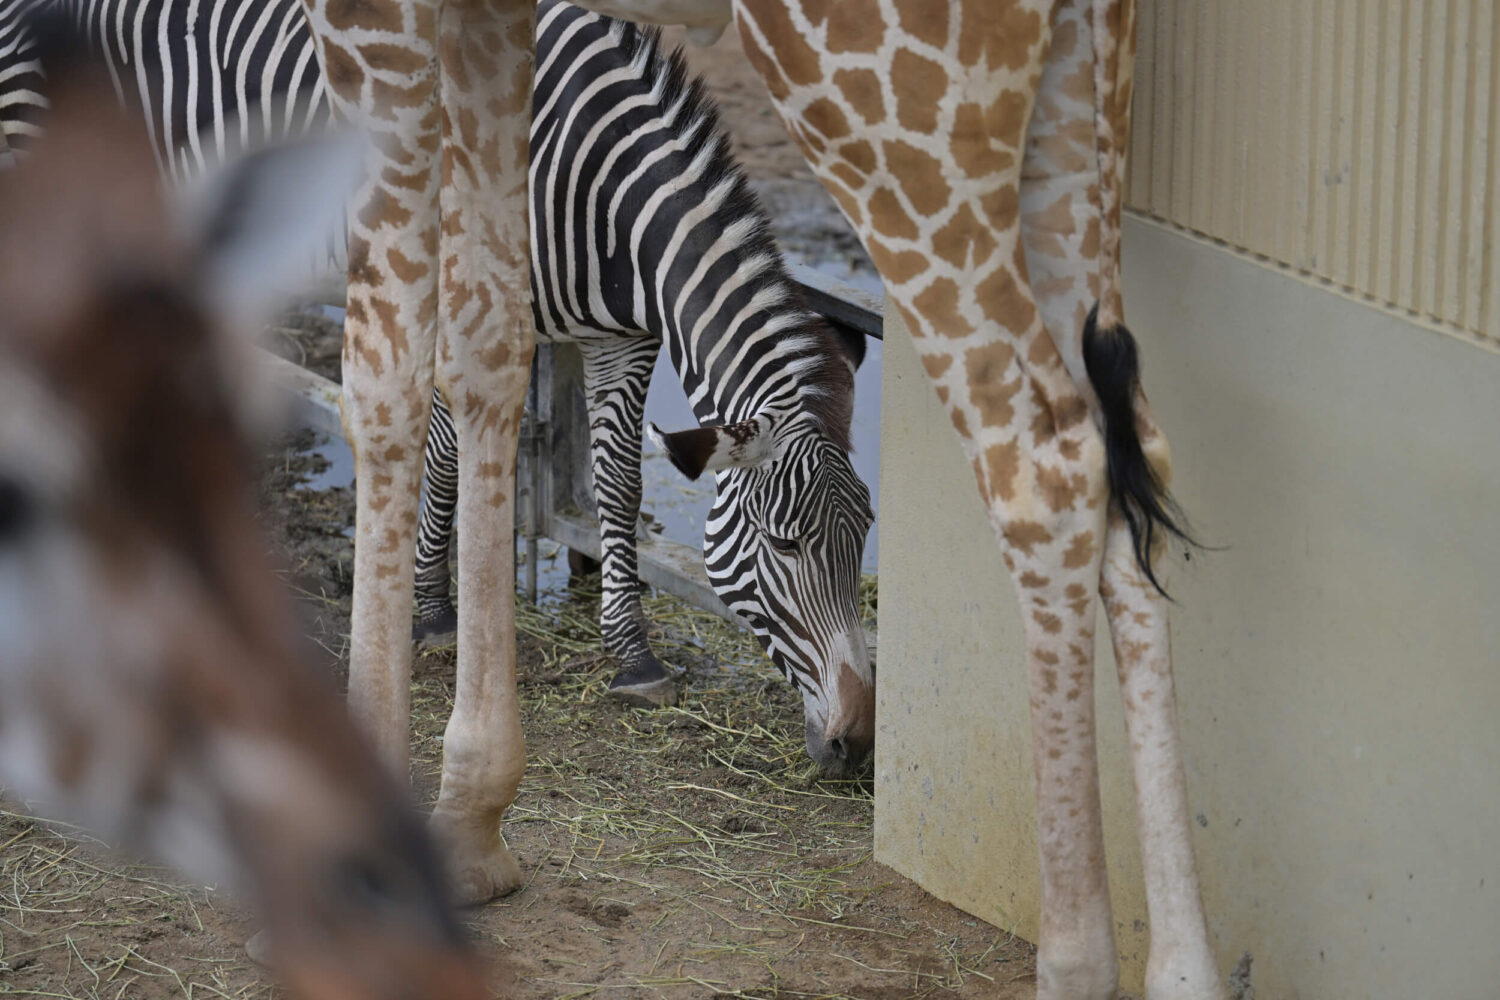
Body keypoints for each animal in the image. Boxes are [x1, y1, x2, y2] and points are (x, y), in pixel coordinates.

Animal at [5, 0, 876, 773]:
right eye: (786, 543)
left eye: (865, 538)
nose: (856, 744)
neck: (597, 189)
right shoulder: (464, 303)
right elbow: (448, 460)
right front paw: (431, 614)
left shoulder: (622, 339)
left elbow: (618, 486)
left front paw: (632, 656)